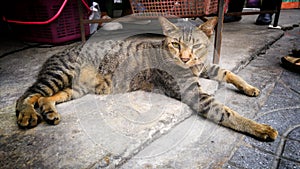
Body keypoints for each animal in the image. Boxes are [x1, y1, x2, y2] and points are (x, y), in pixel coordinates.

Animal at [16, 17, 278, 141]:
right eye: (175, 44)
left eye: (195, 45)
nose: (184, 58)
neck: (193, 65)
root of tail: (53, 54)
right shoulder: (193, 92)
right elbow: (228, 113)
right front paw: (260, 128)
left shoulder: (204, 67)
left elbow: (227, 72)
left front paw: (249, 87)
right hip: (60, 74)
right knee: (27, 95)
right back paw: (28, 115)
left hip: (74, 89)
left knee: (44, 98)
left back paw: (49, 112)